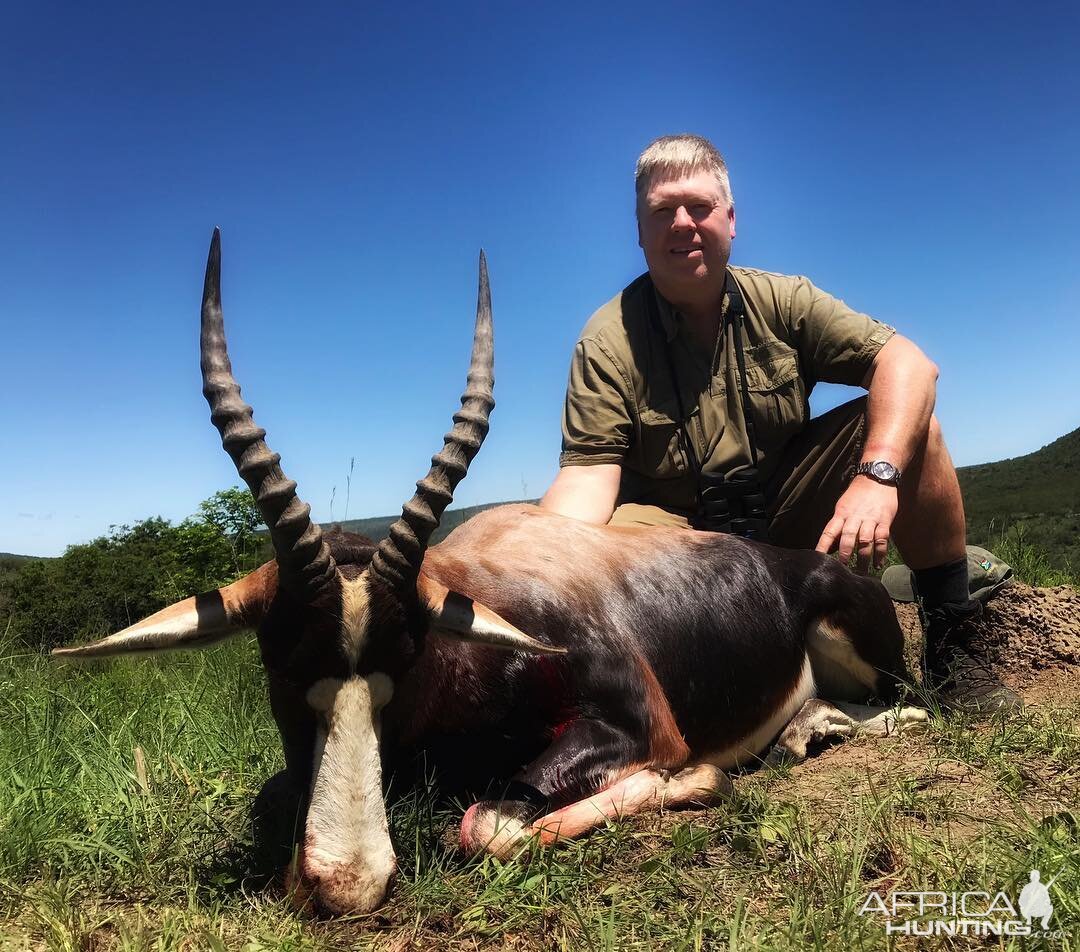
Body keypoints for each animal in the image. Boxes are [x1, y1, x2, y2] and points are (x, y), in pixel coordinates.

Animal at [54, 230, 924, 912]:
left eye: (410, 660)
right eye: (279, 665)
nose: (347, 883)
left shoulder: (642, 729)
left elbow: (488, 825)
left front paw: (696, 781)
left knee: (906, 707)